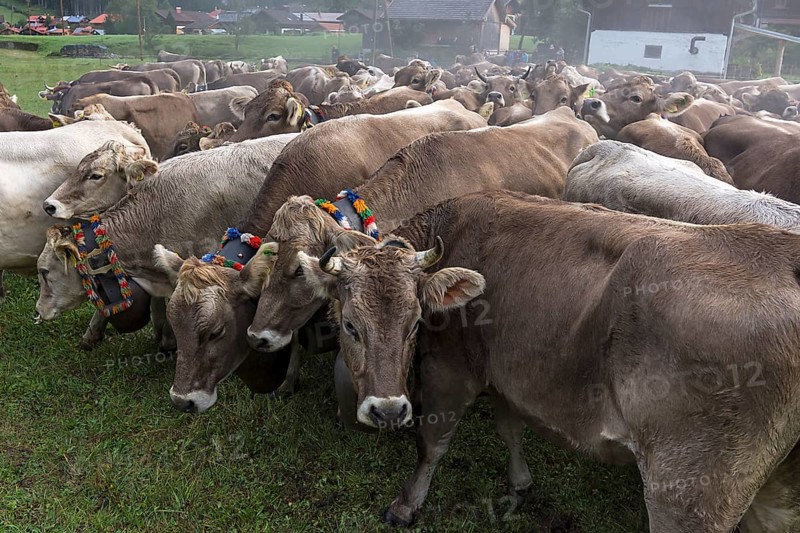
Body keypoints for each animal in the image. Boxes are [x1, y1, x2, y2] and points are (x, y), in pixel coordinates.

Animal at [298, 190, 800, 532]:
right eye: (351, 325)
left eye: (414, 323)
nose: (386, 410)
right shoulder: (507, 375)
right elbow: (510, 428)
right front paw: (519, 485)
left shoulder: (451, 370)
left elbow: (432, 444)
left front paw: (406, 506)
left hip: (689, 491)